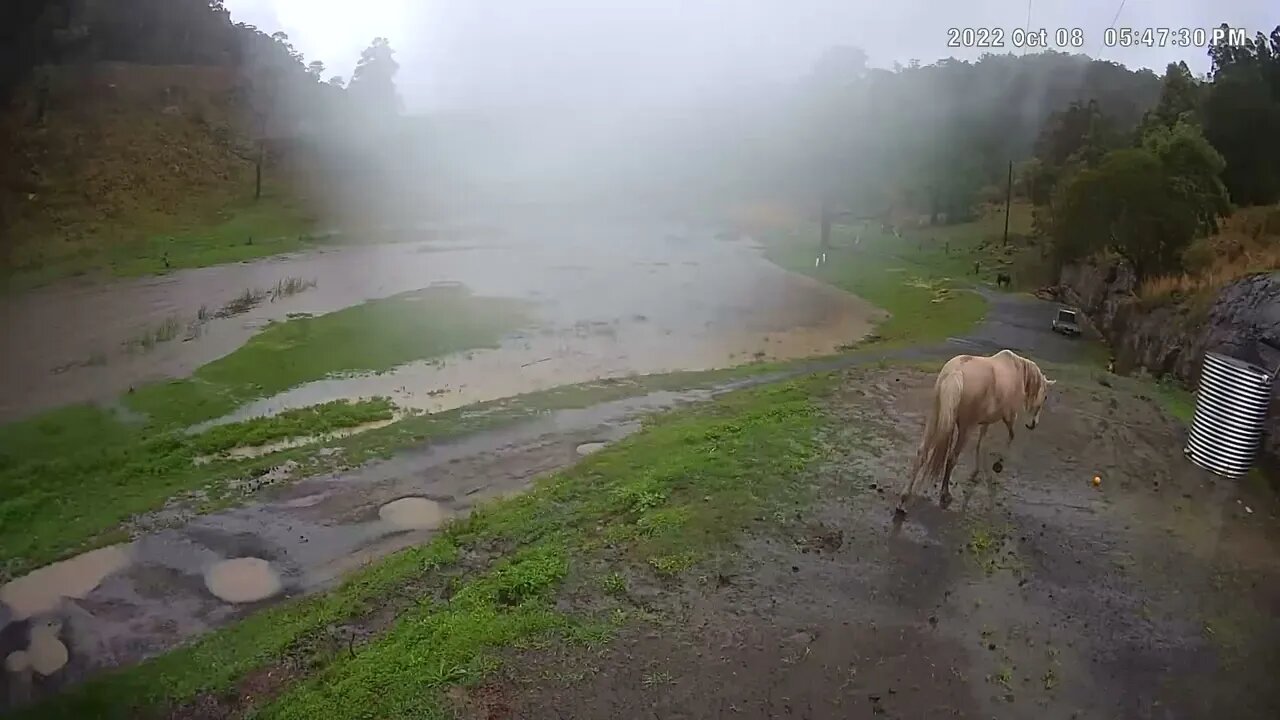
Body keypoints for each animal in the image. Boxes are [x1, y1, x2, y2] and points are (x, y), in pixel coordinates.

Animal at [895, 349, 1055, 514]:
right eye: (1045, 397)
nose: (1033, 424)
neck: (1017, 371)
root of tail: (956, 372)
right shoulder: (1009, 416)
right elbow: (1010, 436)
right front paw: (999, 464)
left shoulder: (986, 421)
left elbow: (981, 443)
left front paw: (977, 471)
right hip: (965, 429)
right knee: (952, 458)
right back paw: (945, 493)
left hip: (935, 418)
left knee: (922, 453)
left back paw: (903, 500)